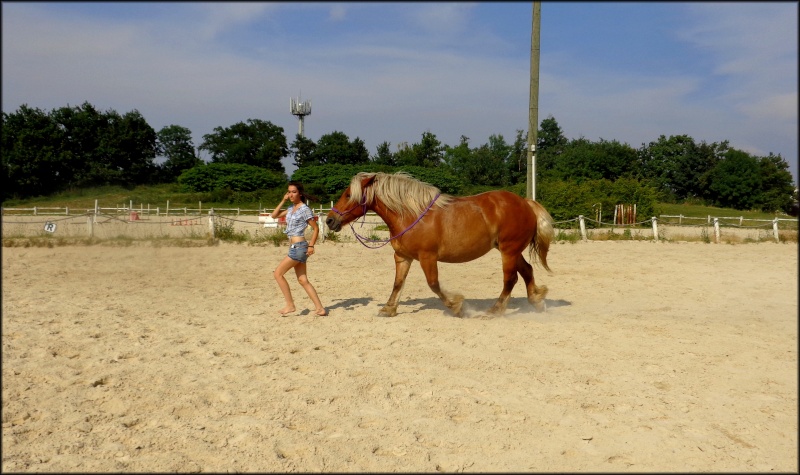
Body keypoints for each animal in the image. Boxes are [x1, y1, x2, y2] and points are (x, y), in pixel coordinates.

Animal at [322, 173, 552, 318]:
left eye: (348, 195)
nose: (330, 220)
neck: (410, 214)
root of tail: (525, 202)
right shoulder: (402, 257)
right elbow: (397, 283)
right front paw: (388, 309)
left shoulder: (427, 257)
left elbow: (433, 284)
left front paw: (457, 307)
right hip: (511, 251)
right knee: (527, 270)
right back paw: (536, 301)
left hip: (508, 251)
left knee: (510, 280)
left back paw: (494, 311)